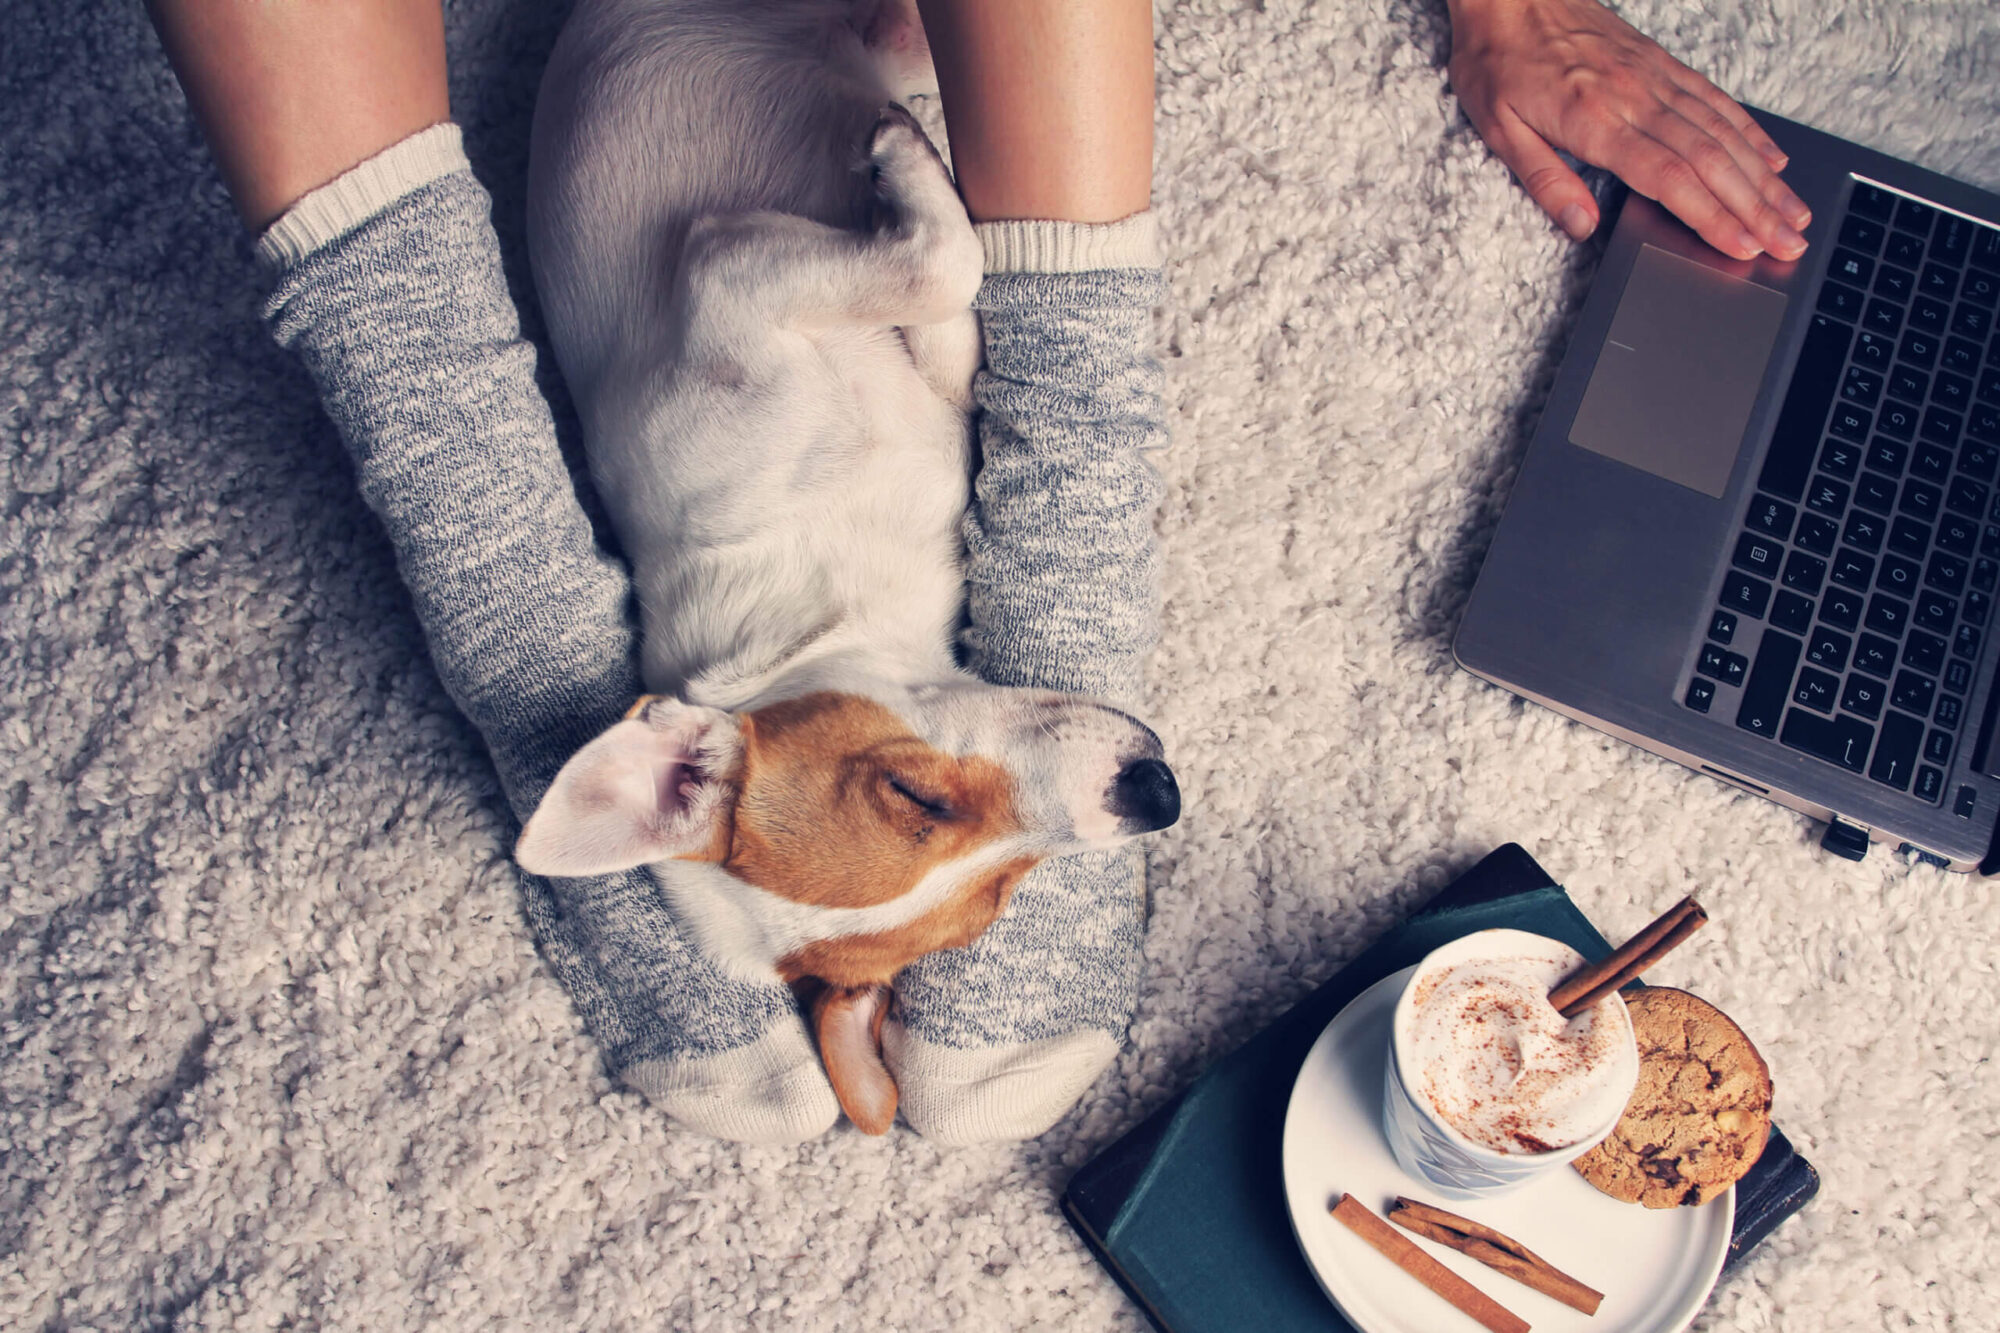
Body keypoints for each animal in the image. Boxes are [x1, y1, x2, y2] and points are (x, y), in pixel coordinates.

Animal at [516, 0, 1176, 1128]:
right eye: (991, 903)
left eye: (912, 793)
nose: (1155, 794)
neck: (820, 595)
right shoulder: (729, 270)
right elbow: (941, 267)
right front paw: (907, 169)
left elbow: (954, 322)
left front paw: (912, 183)